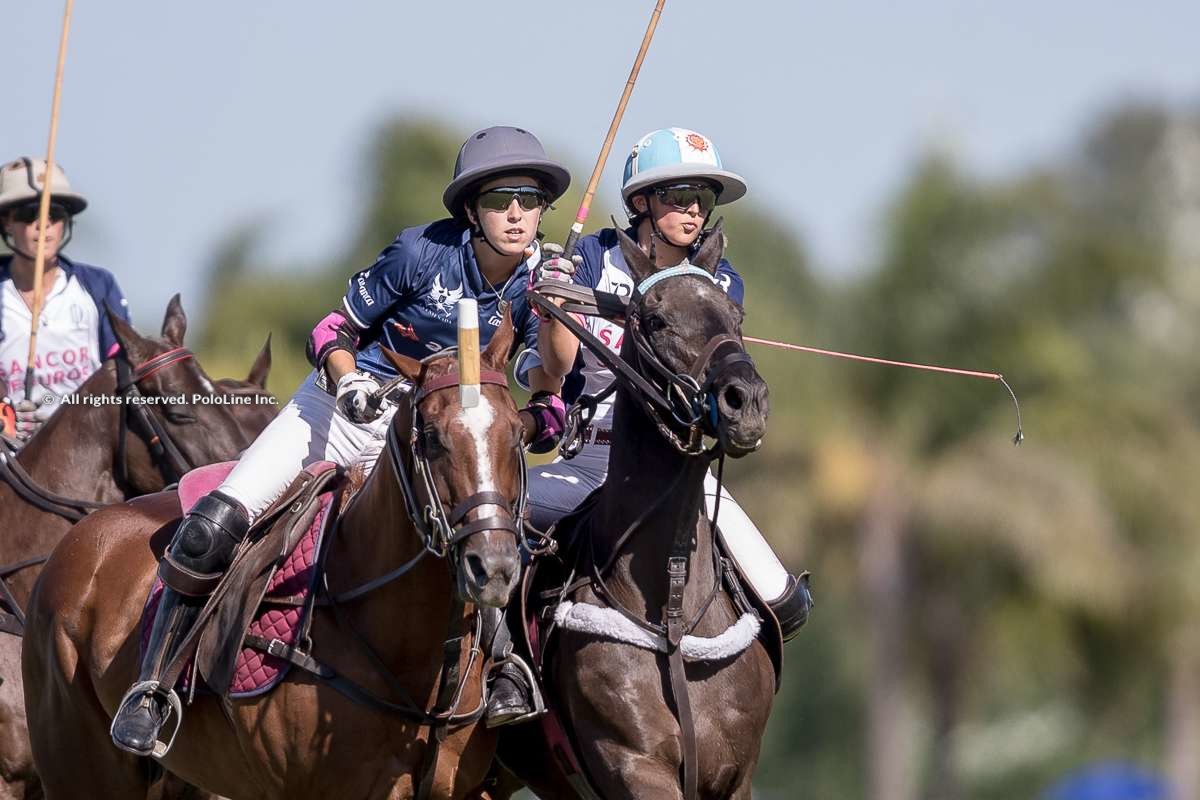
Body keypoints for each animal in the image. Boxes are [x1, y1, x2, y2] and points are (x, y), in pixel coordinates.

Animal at [22, 316, 525, 800]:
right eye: (434, 439)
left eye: (518, 433)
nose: (494, 566)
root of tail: (75, 539)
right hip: (81, 768)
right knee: (205, 534)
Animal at [487, 225, 777, 800]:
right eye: (656, 320)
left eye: (736, 316)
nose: (746, 402)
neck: (674, 618)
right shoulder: (633, 766)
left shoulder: (738, 774)